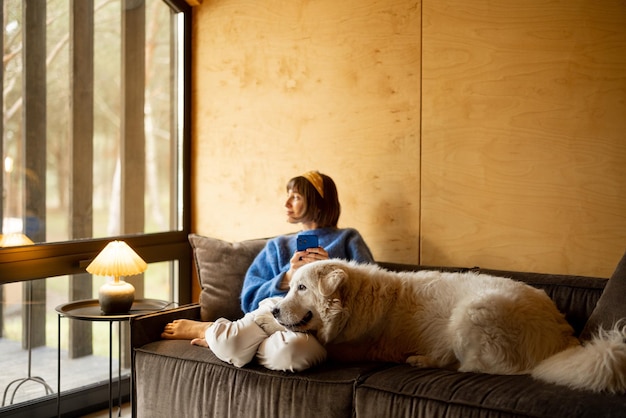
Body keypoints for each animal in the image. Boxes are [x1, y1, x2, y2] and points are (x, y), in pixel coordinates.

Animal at [272, 260, 624, 394]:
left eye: (301, 288)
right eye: (290, 288)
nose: (275, 310)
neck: (354, 302)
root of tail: (562, 339)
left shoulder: (351, 347)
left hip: (470, 313)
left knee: (470, 366)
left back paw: (421, 359)